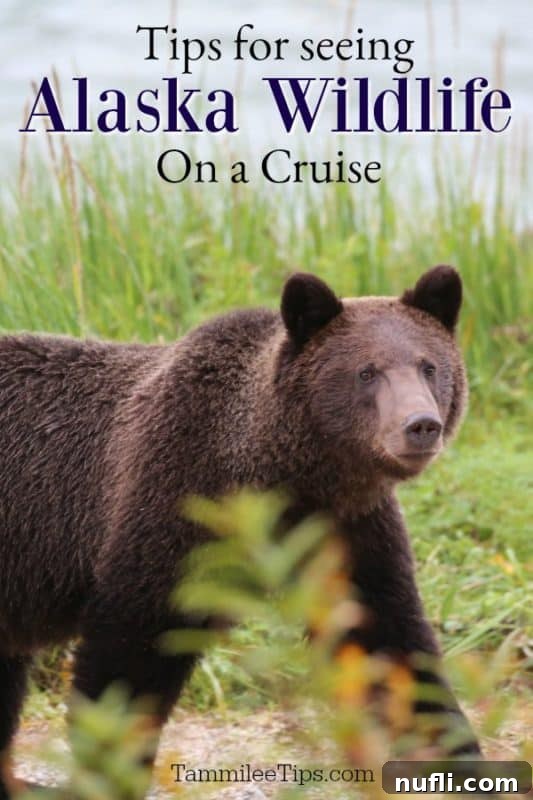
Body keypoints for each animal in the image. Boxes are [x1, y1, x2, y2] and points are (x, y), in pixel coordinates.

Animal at [0, 265, 480, 797]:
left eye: (428, 366)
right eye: (367, 371)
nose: (421, 425)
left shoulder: (344, 527)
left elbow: (386, 639)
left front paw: (460, 759)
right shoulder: (175, 499)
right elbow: (131, 652)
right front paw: (110, 772)